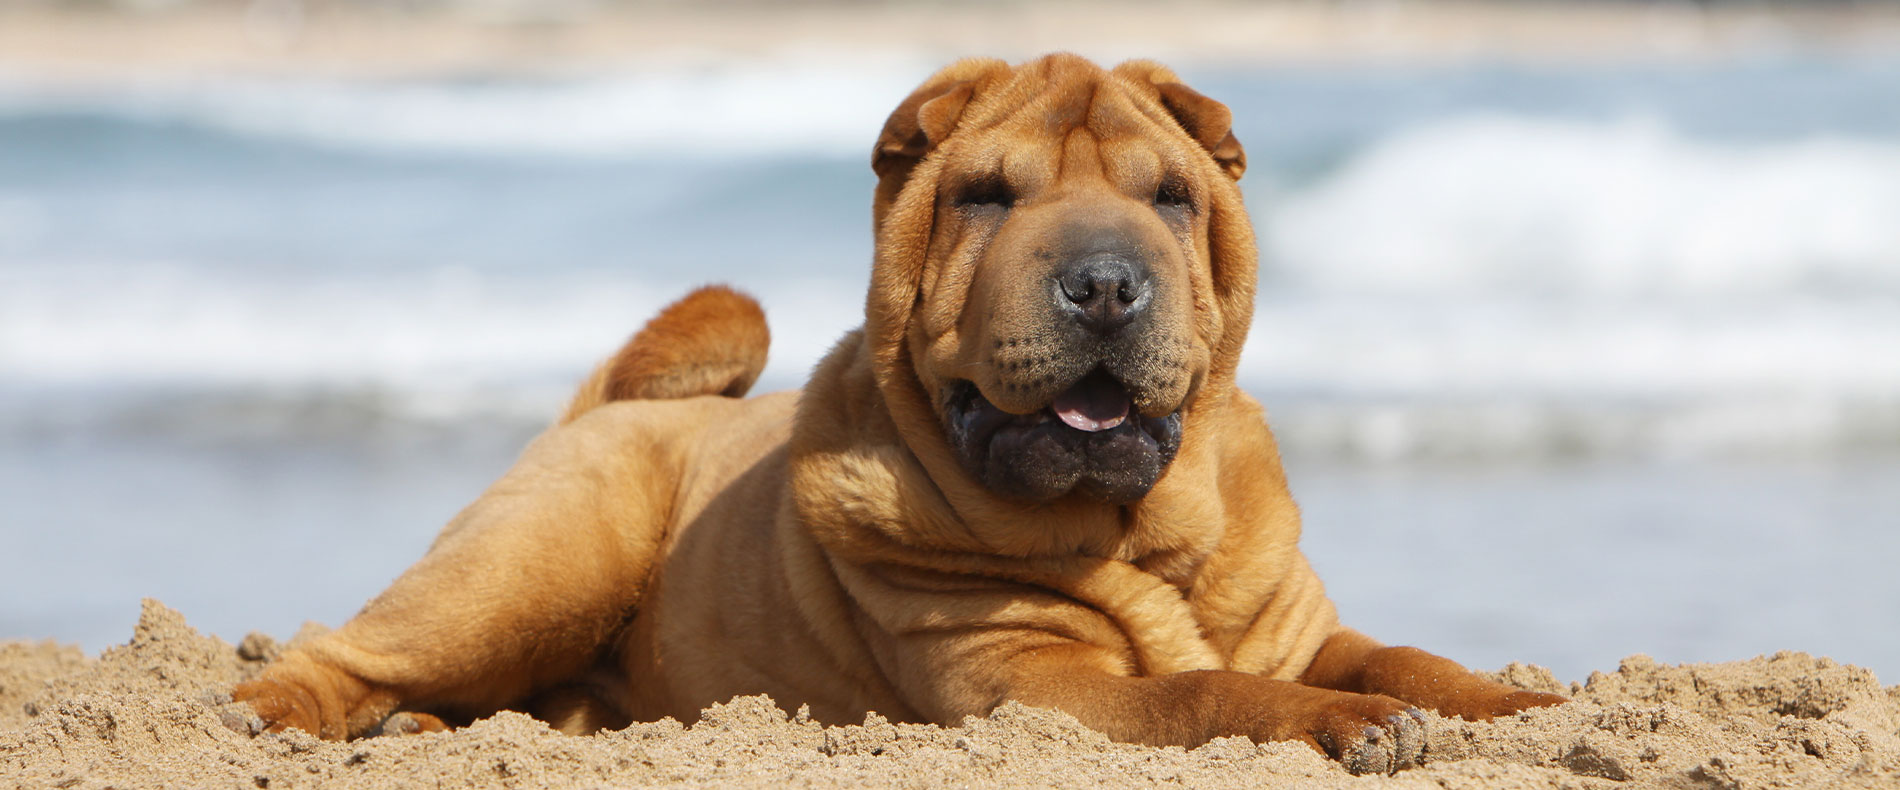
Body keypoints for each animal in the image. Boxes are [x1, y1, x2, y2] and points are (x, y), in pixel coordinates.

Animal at [237, 54, 1565, 771]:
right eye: (985, 197)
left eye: (1171, 199)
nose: (1102, 281)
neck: (1148, 531)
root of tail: (589, 416)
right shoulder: (1033, 689)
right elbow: (1205, 692)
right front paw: (1349, 725)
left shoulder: (1295, 627)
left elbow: (1410, 657)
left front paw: (1530, 706)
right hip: (539, 563)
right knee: (343, 648)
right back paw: (275, 714)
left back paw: (418, 733)